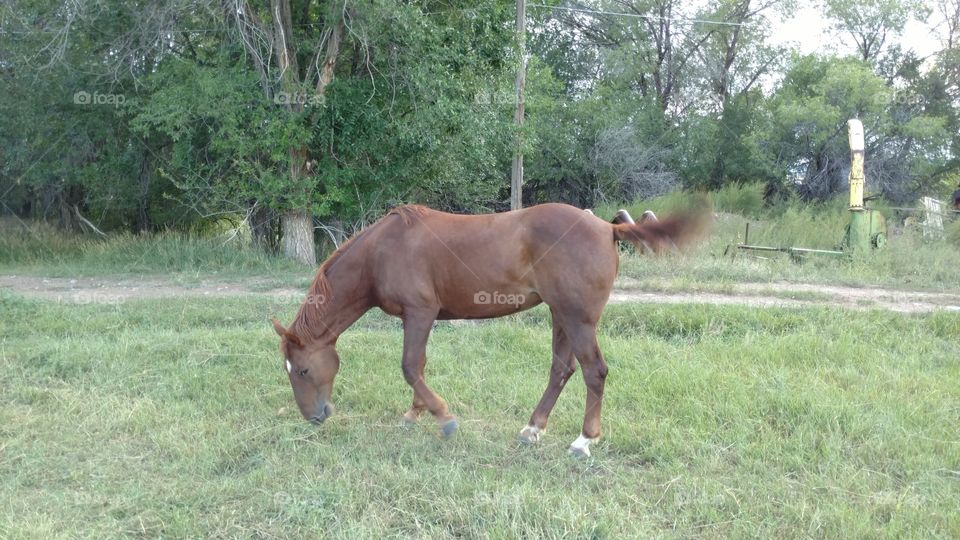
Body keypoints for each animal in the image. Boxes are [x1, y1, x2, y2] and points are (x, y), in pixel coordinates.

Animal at [271, 201, 709, 457]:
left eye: (304, 369)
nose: (314, 417)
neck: (381, 252)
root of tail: (606, 228)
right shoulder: (419, 317)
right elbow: (419, 366)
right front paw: (415, 414)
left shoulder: (420, 312)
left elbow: (411, 366)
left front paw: (443, 418)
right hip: (561, 316)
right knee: (561, 370)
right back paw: (532, 430)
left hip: (577, 318)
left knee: (593, 371)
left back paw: (584, 441)